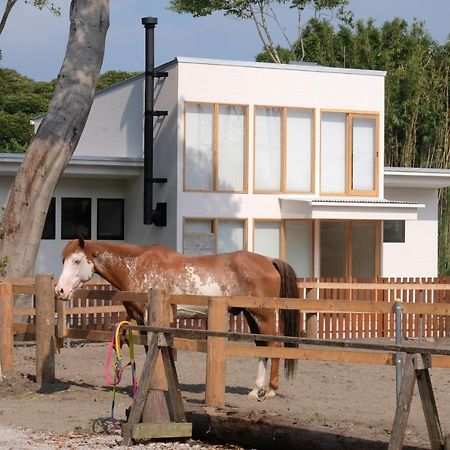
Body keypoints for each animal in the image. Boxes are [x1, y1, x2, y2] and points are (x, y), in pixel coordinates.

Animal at [56, 237, 300, 400]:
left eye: (76, 261)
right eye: (64, 260)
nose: (60, 290)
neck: (137, 266)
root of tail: (269, 261)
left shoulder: (151, 318)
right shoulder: (142, 320)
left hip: (264, 316)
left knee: (274, 346)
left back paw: (270, 390)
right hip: (251, 316)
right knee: (262, 348)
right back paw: (256, 390)